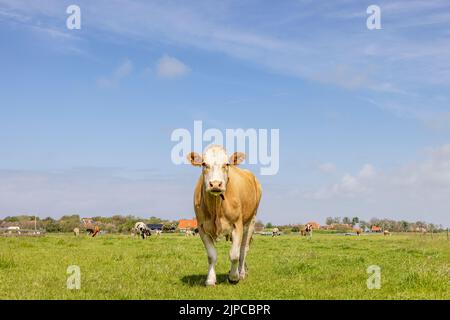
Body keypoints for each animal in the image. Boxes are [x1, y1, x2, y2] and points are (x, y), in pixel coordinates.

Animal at [187, 145, 264, 284]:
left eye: (226, 164)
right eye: (204, 164)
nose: (215, 184)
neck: (216, 209)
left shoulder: (237, 225)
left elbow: (234, 254)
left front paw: (234, 277)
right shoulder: (201, 228)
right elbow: (211, 255)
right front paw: (211, 279)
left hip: (251, 220)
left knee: (243, 249)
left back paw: (241, 273)